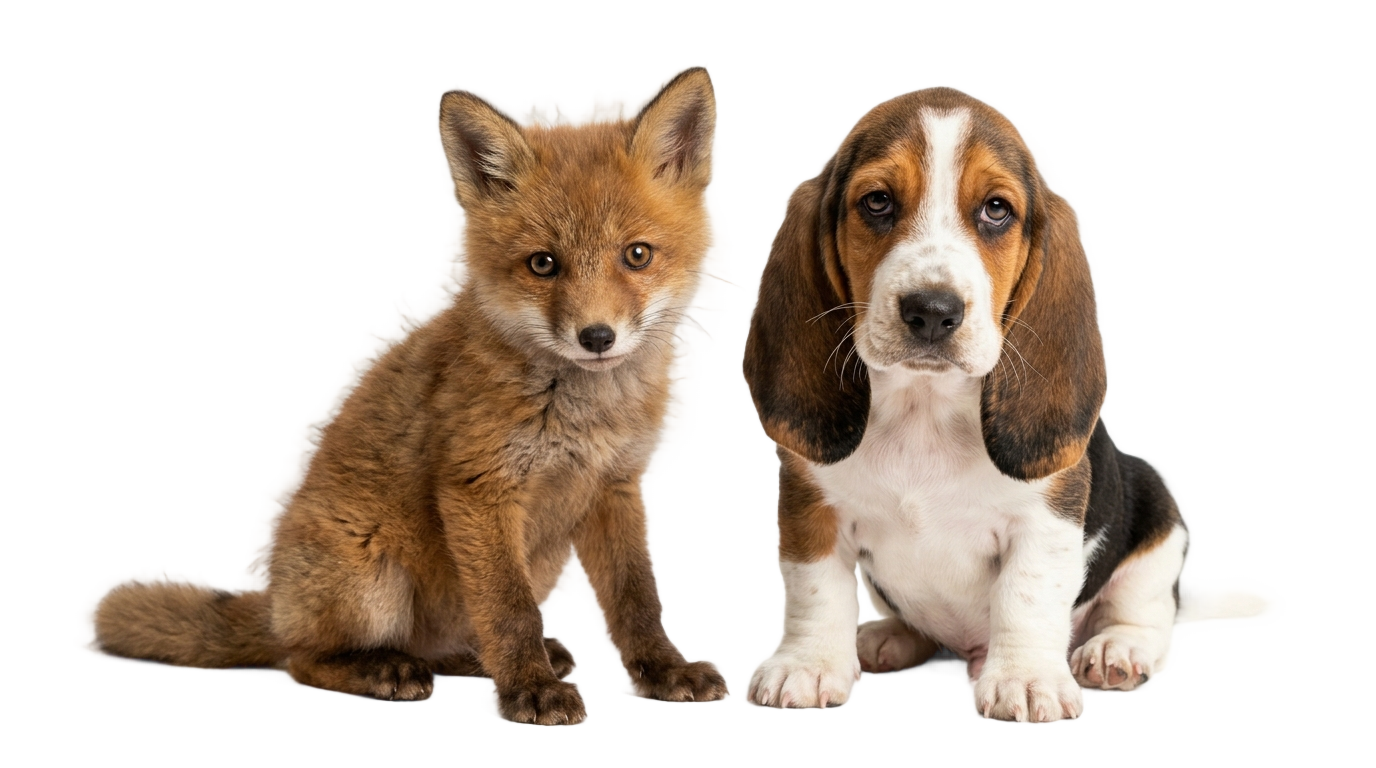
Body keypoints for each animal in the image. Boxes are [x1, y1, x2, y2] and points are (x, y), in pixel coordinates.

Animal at [94, 67, 726, 725]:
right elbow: (510, 609)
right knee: (303, 660)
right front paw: (531, 686)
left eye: (637, 255)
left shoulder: (615, 487)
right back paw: (384, 670)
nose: (597, 337)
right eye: (543, 264)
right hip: (372, 586)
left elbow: (636, 600)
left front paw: (664, 669)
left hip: (531, 564)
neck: (585, 414)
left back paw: (469, 660)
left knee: (444, 642)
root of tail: (275, 603)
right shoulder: (479, 490)